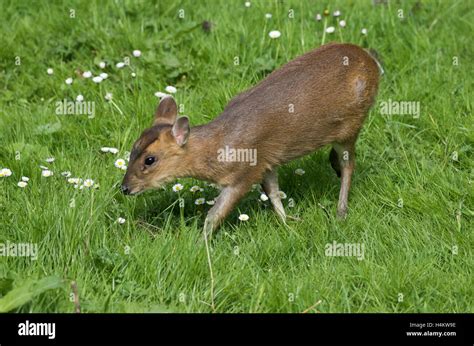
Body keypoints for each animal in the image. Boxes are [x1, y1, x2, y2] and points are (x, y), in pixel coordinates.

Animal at [122, 41, 382, 235]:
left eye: (150, 160)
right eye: (133, 149)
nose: (124, 188)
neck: (219, 146)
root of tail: (371, 58)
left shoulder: (244, 172)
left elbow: (214, 215)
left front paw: (200, 245)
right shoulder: (266, 161)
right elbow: (273, 192)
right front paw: (288, 223)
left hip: (350, 126)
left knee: (349, 165)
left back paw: (341, 211)